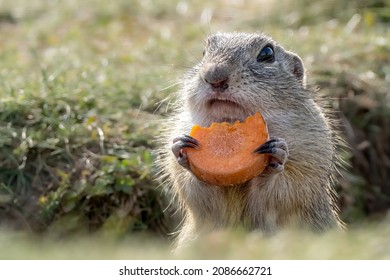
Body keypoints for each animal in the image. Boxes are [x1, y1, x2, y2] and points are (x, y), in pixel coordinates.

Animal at [157, 32, 342, 249]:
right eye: (204, 52)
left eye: (267, 53)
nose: (214, 76)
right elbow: (198, 196)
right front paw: (181, 148)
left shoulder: (312, 155)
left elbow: (287, 192)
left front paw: (275, 158)